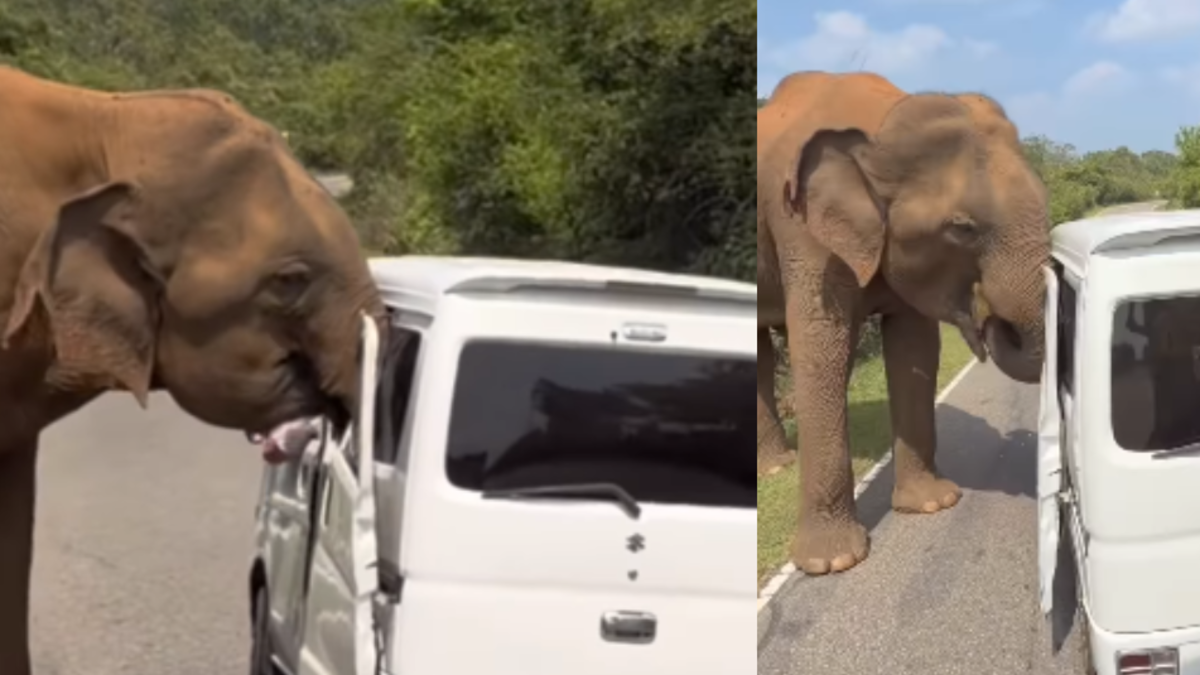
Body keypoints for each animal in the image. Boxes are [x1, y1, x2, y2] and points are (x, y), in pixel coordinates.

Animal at [757, 70, 1050, 576]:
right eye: (962, 228)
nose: (989, 321)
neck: (881, 122)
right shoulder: (800, 228)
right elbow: (820, 343)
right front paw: (832, 563)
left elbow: (915, 346)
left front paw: (933, 505)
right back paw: (776, 469)